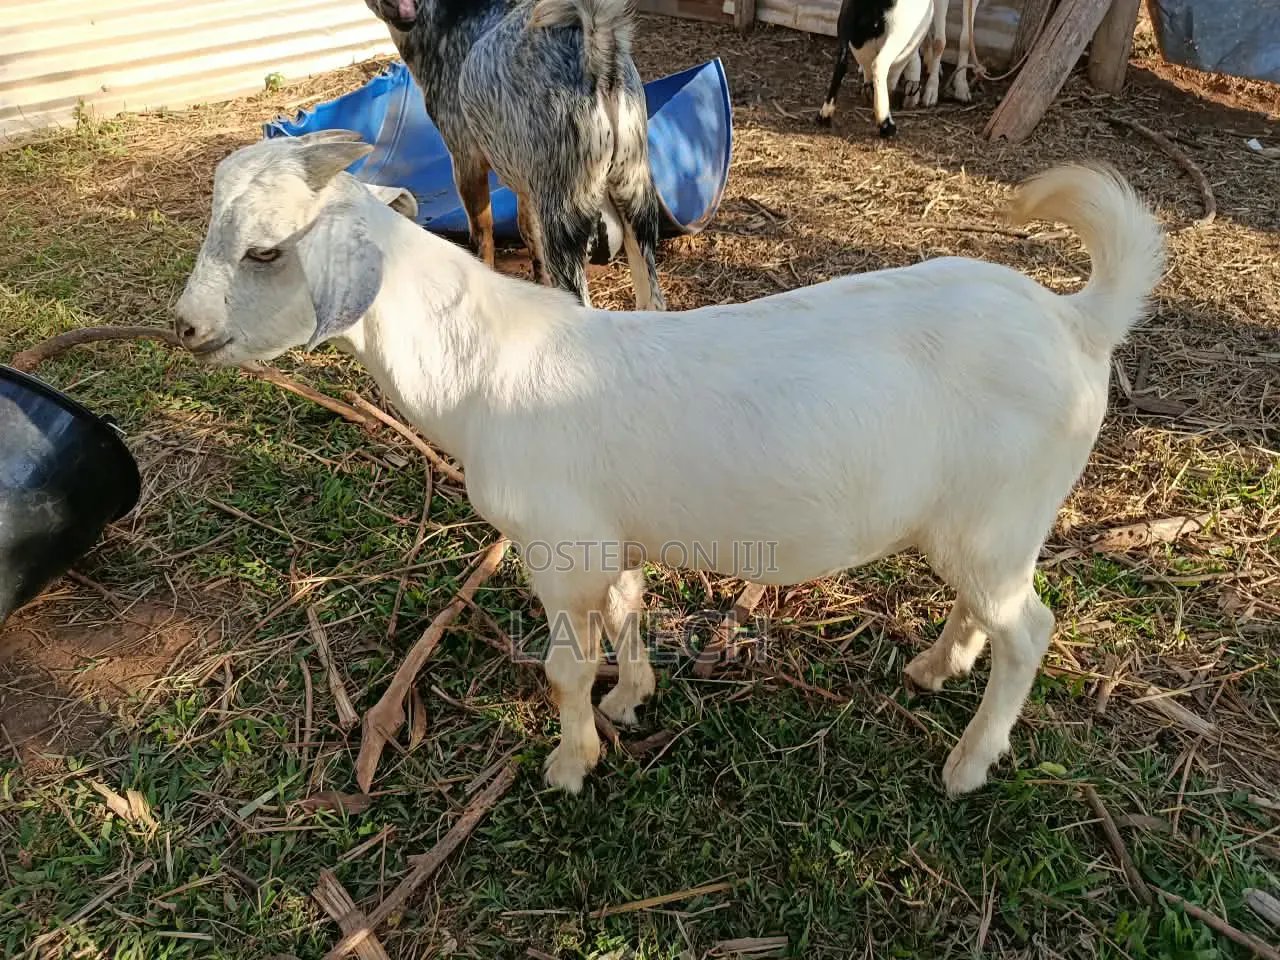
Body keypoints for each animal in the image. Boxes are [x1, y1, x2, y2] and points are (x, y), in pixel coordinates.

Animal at [175, 132, 1164, 797]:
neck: (479, 359)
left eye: (266, 250)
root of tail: (1079, 320)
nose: (185, 329)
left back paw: (968, 761)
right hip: (983, 523)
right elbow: (627, 607)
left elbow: (564, 666)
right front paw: (631, 698)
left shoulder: (558, 547)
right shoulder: (610, 537)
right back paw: (935, 667)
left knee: (1030, 629)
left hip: (999, 517)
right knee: (989, 607)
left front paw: (570, 760)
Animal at [360, 0, 665, 310]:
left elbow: (482, 233)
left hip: (565, 208)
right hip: (633, 187)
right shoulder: (526, 178)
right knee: (652, 300)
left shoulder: (464, 157)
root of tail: (599, 57)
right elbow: (528, 230)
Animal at [817, 0, 981, 136]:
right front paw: (930, 90)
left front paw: (961, 87)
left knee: (843, 61)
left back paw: (826, 114)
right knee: (880, 65)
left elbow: (966, 39)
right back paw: (886, 121)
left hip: (851, 24)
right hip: (896, 31)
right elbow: (939, 42)